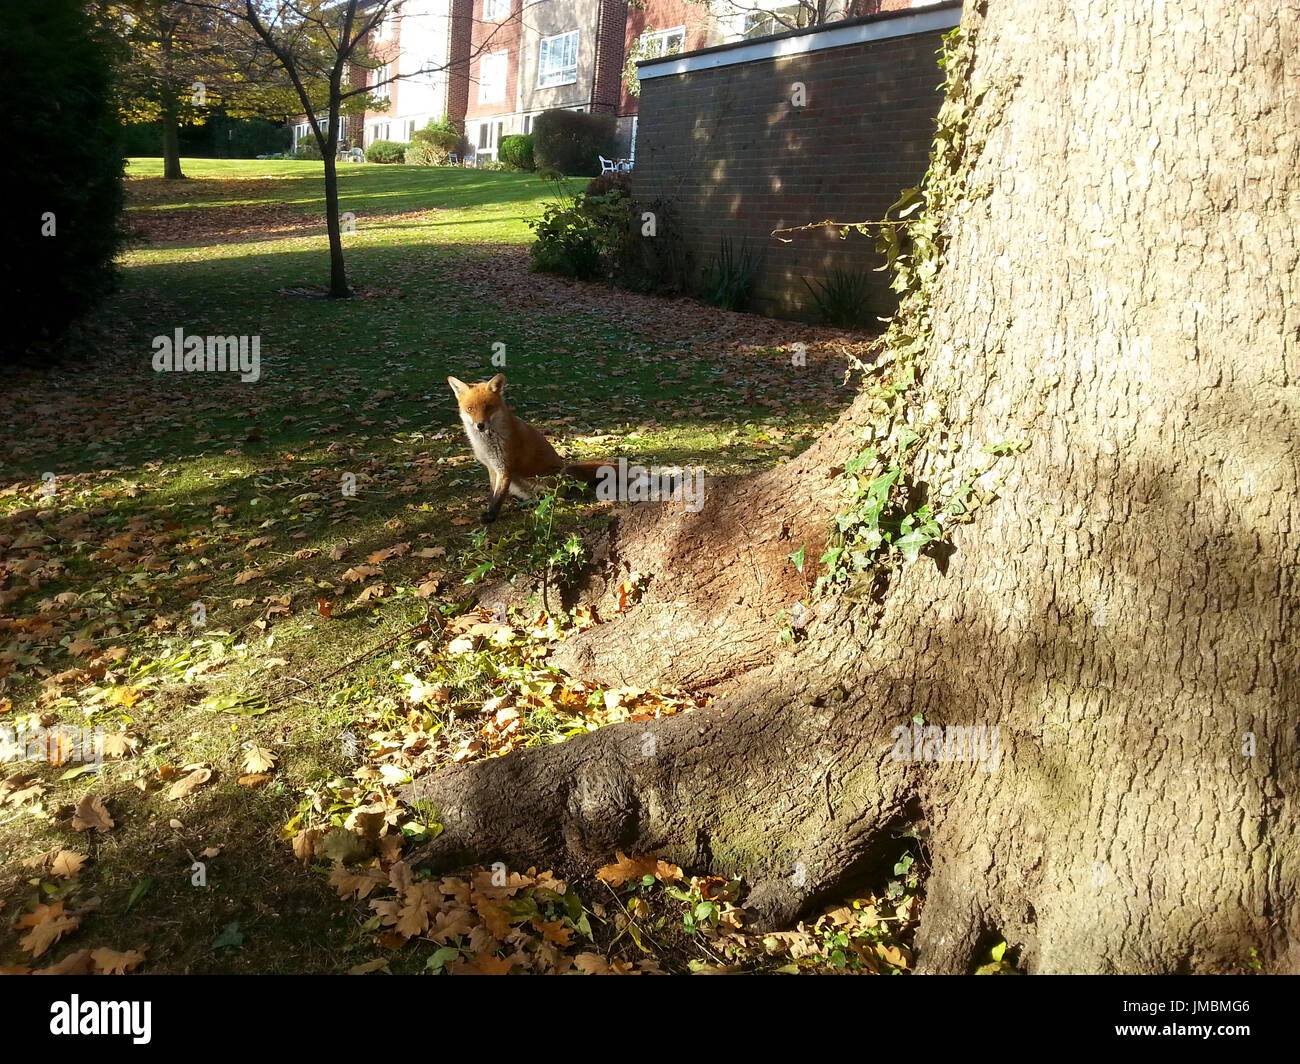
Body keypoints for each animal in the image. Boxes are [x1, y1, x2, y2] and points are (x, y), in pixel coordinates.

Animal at [447, 373, 613, 522]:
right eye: (470, 409)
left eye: (489, 408)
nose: (480, 425)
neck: (487, 443)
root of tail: (566, 473)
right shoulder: (493, 468)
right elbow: (492, 494)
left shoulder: (505, 468)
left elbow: (498, 497)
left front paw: (490, 517)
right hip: (517, 484)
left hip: (543, 481)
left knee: (549, 497)